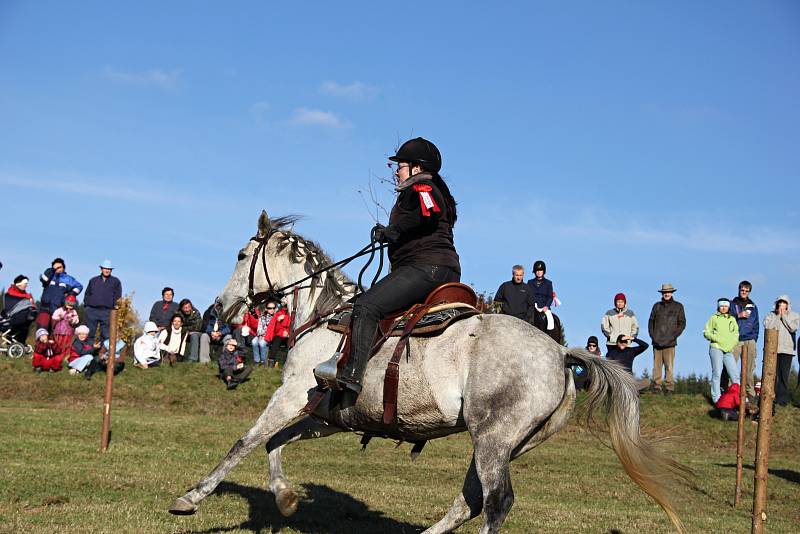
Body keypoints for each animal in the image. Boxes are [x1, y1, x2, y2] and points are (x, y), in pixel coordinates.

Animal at [169, 214, 688, 534]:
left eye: (241, 256)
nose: (216, 308)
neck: (324, 314)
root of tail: (560, 354)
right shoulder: (327, 416)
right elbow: (274, 444)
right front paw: (285, 499)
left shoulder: (294, 394)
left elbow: (245, 442)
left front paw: (192, 497)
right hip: (506, 442)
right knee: (469, 501)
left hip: (494, 437)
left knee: (495, 504)